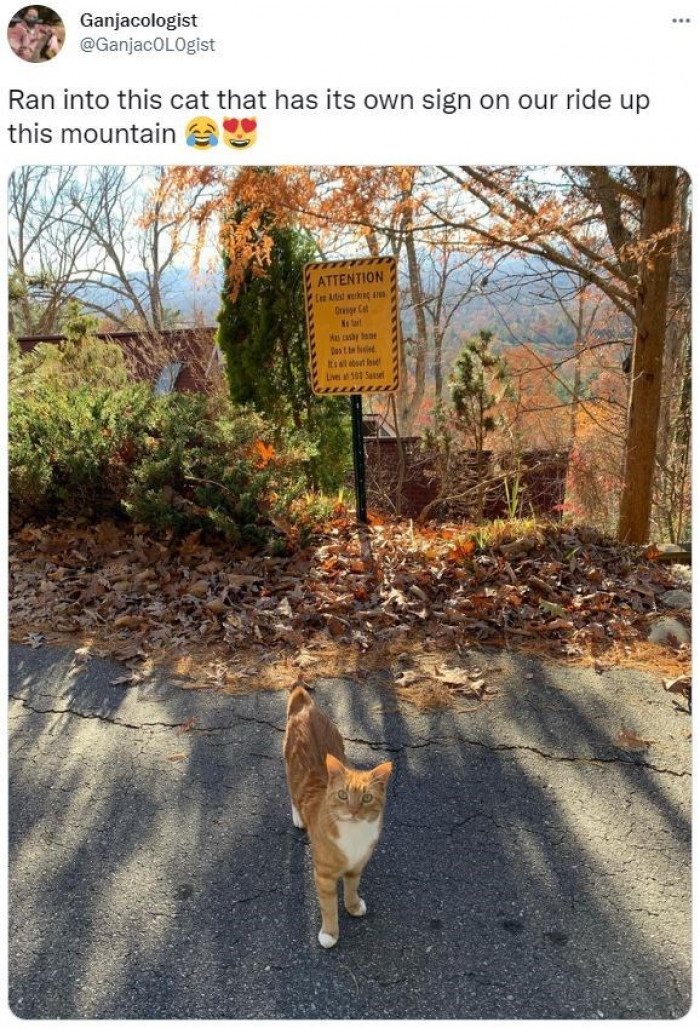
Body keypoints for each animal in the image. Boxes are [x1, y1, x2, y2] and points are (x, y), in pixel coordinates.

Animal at [283, 686, 392, 949]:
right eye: (343, 795)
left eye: (366, 798)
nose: (353, 811)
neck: (353, 834)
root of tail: (307, 706)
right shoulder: (323, 875)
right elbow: (329, 907)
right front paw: (330, 933)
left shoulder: (358, 865)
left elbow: (352, 886)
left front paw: (352, 905)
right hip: (289, 767)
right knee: (292, 792)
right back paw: (298, 816)